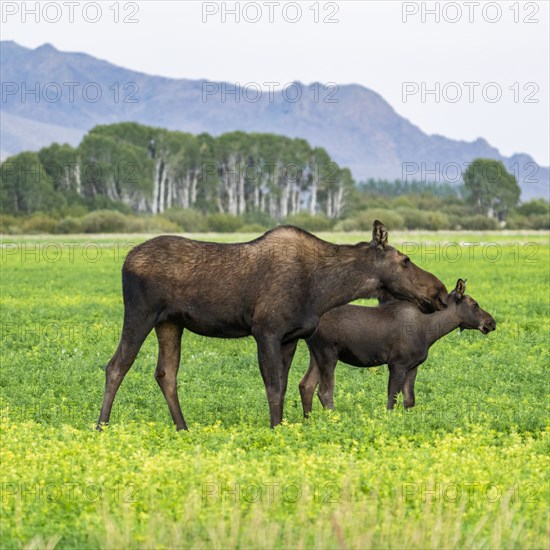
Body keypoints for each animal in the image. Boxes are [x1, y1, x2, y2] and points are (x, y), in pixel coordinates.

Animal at [97, 221, 450, 432]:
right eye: (405, 260)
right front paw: (274, 429)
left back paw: (183, 428)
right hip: (141, 312)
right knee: (116, 365)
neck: (323, 290)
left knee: (165, 373)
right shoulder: (265, 330)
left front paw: (281, 427)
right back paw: (101, 426)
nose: (441, 291)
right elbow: (274, 387)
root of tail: (125, 261)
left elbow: (285, 385)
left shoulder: (290, 337)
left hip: (170, 322)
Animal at [300, 278, 498, 416]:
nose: (491, 322)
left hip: (316, 355)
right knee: (324, 392)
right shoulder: (397, 364)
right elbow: (392, 399)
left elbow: (409, 400)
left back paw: (308, 421)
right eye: (475, 305)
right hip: (327, 354)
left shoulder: (413, 366)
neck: (431, 331)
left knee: (306, 385)